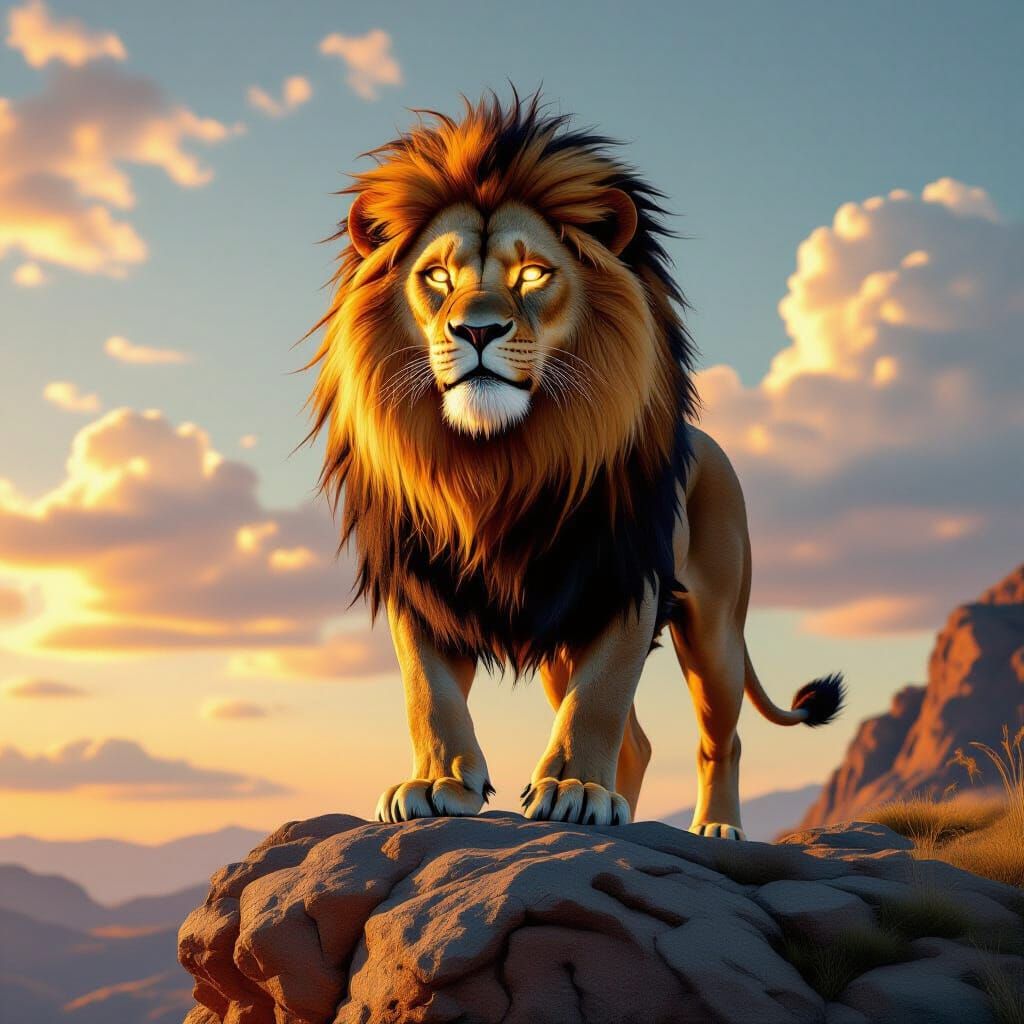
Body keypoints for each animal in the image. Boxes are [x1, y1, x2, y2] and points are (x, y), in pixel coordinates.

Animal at [305, 92, 844, 839]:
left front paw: (575, 789)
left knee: (721, 736)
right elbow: (428, 692)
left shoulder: (624, 576)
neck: (494, 463)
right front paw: (438, 782)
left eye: (532, 273)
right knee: (640, 742)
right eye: (436, 276)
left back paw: (715, 827)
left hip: (714, 629)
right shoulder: (420, 581)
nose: (476, 330)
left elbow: (599, 697)